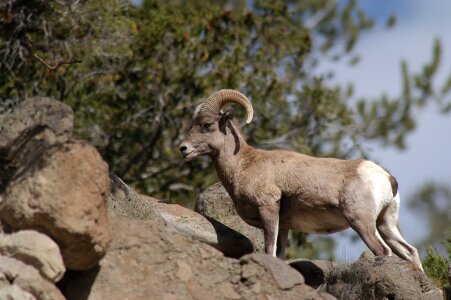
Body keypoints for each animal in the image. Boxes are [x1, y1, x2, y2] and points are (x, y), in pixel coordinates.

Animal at [179, 89, 424, 270]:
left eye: (207, 125)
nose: (183, 149)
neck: (244, 165)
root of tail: (386, 177)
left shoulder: (269, 208)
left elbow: (269, 250)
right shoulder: (285, 226)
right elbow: (279, 255)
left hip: (362, 223)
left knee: (384, 252)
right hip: (386, 223)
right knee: (410, 252)